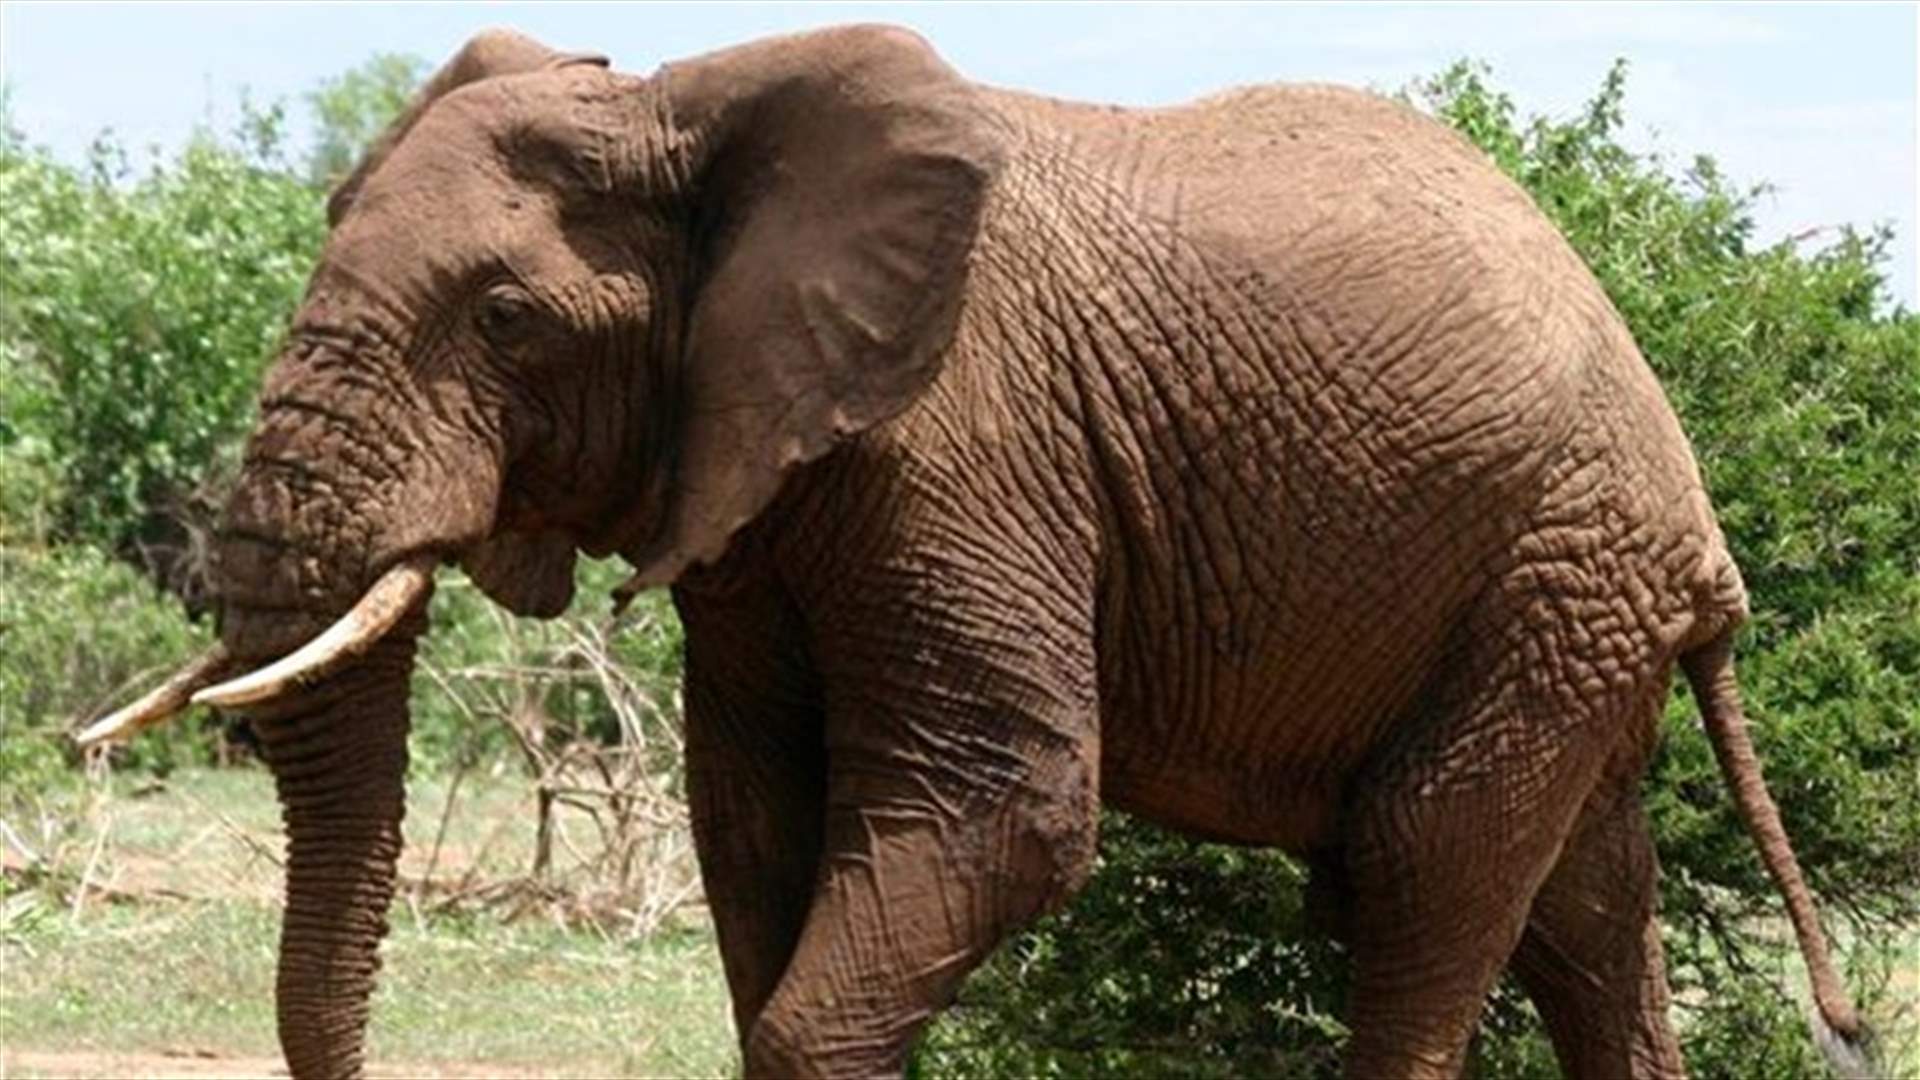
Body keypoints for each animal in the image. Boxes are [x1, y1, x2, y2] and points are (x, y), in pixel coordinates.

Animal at [82, 24, 1870, 1080]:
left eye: (505, 317)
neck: (687, 94)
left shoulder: (965, 441)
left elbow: (996, 809)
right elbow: (754, 823)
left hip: (1556, 566)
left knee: (1426, 873)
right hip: (1571, 604)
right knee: (1585, 910)